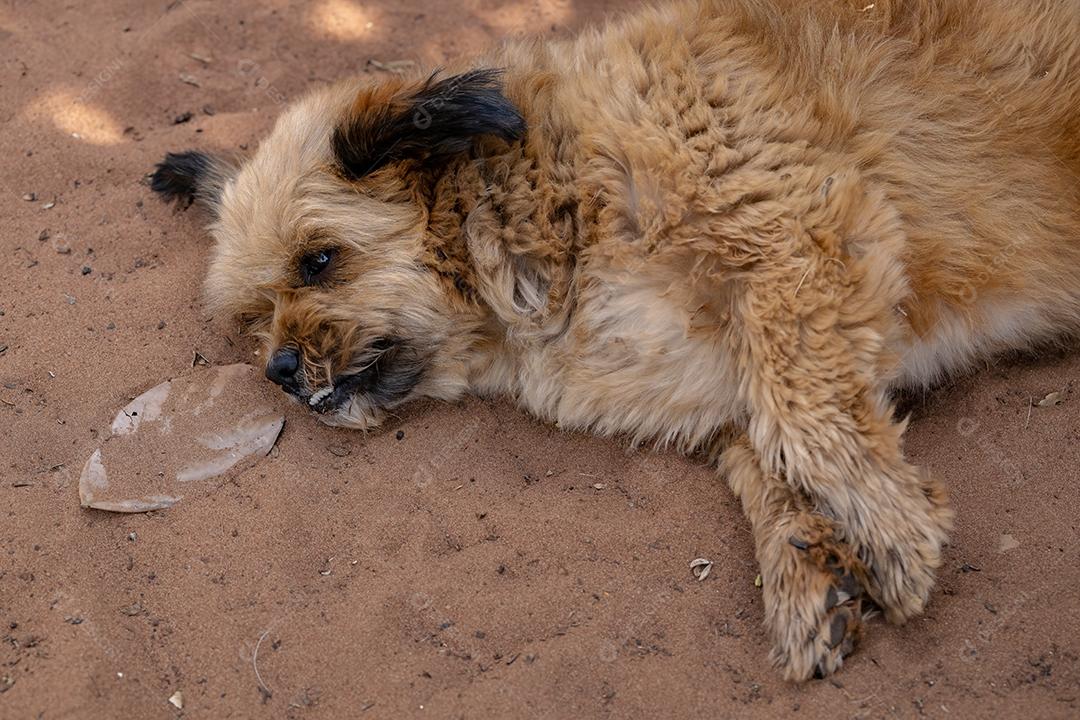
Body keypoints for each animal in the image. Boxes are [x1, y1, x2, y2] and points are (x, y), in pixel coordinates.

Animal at [150, 0, 1080, 682]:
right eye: (254, 315)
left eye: (319, 260)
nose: (276, 370)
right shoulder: (727, 375)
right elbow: (769, 455)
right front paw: (807, 571)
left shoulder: (807, 231)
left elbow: (802, 423)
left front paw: (890, 534)